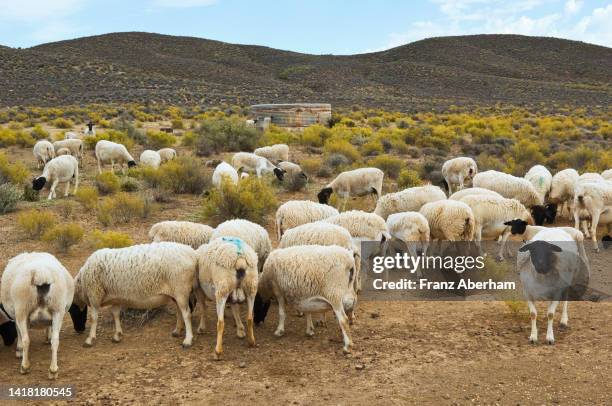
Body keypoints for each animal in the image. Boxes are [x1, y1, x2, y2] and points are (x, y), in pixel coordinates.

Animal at [0, 252, 75, 380]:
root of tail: (41, 273)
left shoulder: (16, 314)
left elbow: (18, 331)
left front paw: (19, 350)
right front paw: (47, 337)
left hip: (22, 309)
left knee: (26, 339)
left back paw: (25, 367)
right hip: (58, 309)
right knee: (56, 340)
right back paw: (53, 370)